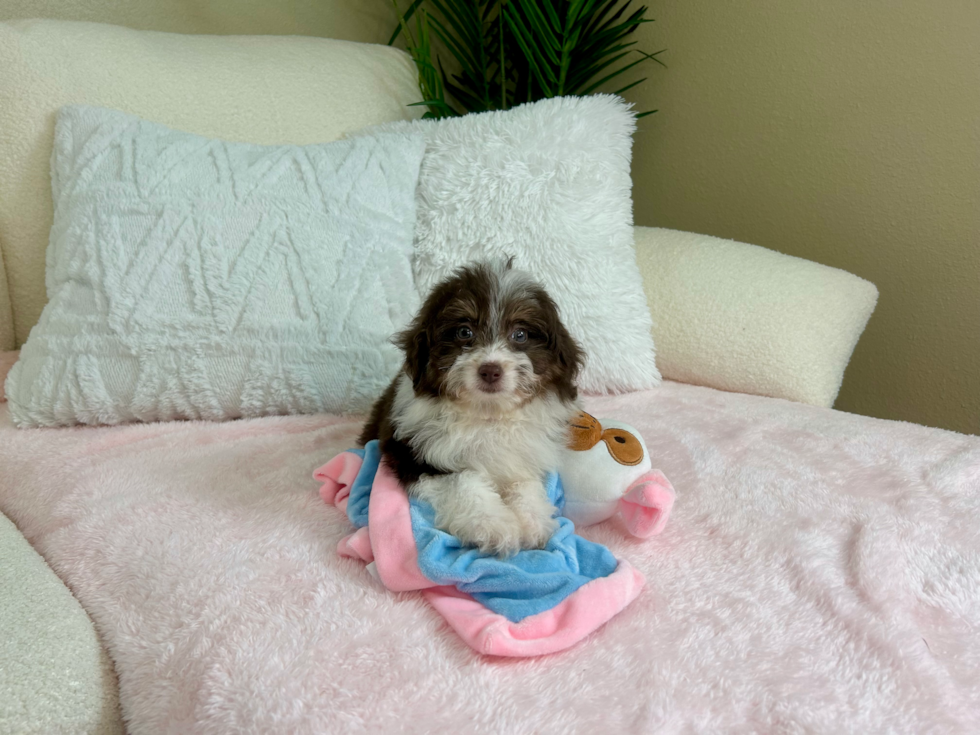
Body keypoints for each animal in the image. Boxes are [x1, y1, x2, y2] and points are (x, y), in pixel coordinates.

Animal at [364, 262, 584, 556]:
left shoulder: (521, 455)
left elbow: (524, 482)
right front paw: (494, 525)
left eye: (520, 335)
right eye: (464, 332)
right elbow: (462, 480)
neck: (487, 414)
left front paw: (533, 521)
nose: (490, 370)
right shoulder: (412, 453)